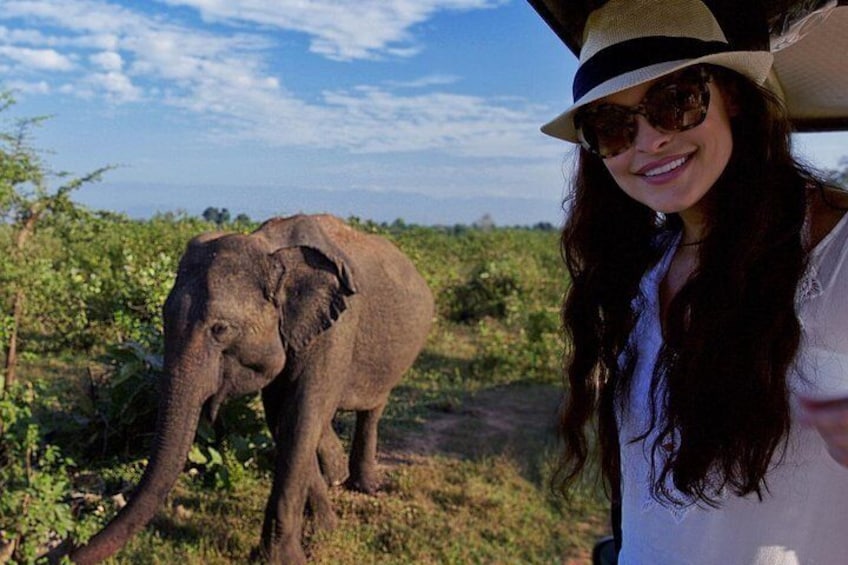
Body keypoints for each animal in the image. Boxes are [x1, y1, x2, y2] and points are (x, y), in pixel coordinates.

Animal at [69, 214, 434, 560]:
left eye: (220, 329)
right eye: (164, 318)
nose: (67, 553)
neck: (271, 247)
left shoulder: (336, 331)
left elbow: (301, 419)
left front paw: (284, 558)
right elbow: (281, 421)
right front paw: (326, 530)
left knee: (373, 408)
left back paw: (366, 486)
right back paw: (338, 476)